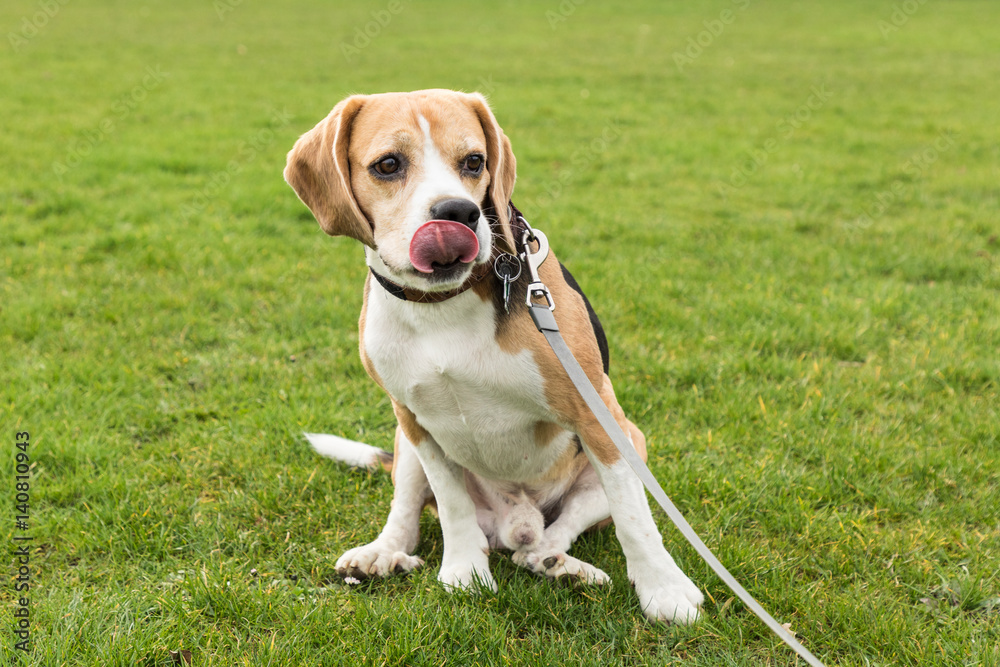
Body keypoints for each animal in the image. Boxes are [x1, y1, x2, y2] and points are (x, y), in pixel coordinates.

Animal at [282, 90, 704, 628]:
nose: (457, 212)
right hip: (405, 442)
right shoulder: (417, 421)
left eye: (474, 162)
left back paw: (559, 564)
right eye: (388, 165)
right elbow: (452, 503)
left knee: (555, 532)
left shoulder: (596, 411)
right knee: (410, 512)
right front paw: (464, 571)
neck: (442, 304)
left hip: (631, 439)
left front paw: (664, 589)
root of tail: (513, 522)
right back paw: (385, 554)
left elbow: (634, 515)